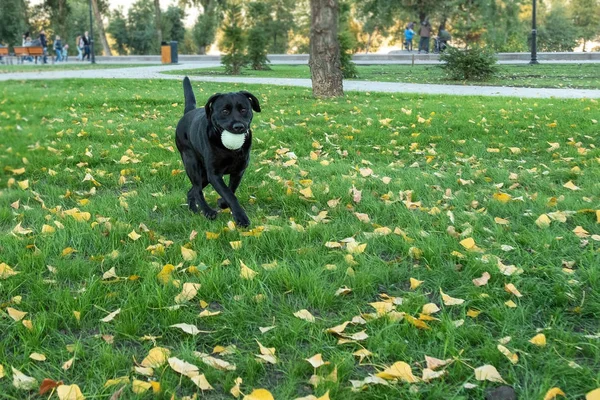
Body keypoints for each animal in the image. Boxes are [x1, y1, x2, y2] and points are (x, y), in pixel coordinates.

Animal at [172, 76, 258, 227]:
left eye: (243, 109)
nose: (238, 126)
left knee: (192, 191)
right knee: (197, 190)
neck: (229, 150)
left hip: (204, 175)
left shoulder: (238, 171)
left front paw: (222, 203)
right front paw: (241, 218)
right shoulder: (214, 174)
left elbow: (231, 190)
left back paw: (194, 210)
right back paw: (207, 211)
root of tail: (188, 112)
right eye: (224, 111)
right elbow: (229, 194)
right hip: (192, 164)